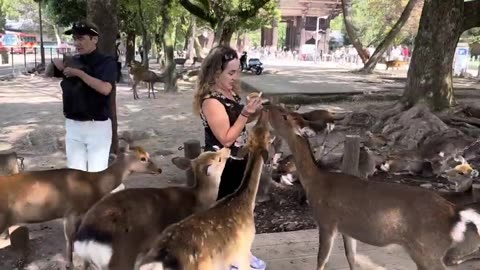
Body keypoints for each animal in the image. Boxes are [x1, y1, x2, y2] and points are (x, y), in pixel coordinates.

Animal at [0, 144, 162, 268]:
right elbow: (70, 239)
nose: (159, 170)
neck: (94, 184)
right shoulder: (72, 211)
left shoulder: (72, 214)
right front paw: (70, 265)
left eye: (148, 154)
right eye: (143, 158)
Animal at [73, 148, 232, 270]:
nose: (227, 148)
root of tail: (86, 240)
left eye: (211, 152)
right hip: (121, 257)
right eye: (218, 158)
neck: (198, 200)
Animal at [264, 104, 480, 270]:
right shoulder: (347, 227)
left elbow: (321, 260)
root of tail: (455, 214)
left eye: (284, 115)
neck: (316, 182)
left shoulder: (327, 221)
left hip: (427, 250)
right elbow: (351, 257)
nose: (267, 105)